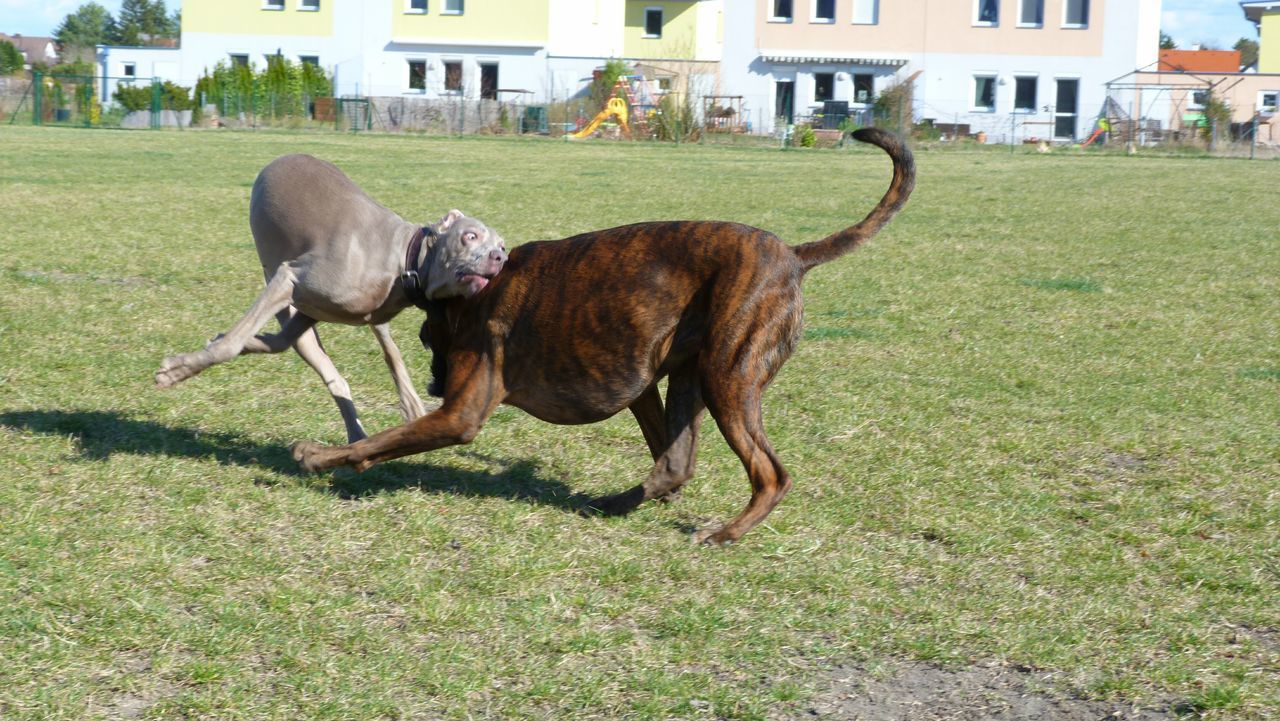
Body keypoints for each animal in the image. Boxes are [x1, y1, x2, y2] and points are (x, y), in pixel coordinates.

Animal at [154, 154, 504, 443]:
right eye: (469, 236)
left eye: (502, 244)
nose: (499, 257)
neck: (405, 261)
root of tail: (284, 157)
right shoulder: (291, 278)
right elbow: (233, 345)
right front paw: (175, 371)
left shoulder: (316, 306)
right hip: (275, 270)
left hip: (319, 307)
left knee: (315, 350)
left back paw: (369, 426)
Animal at [293, 128, 911, 548]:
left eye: (426, 338)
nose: (433, 383)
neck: (477, 295)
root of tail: (793, 257)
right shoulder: (640, 382)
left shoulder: (460, 414)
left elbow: (380, 439)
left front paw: (322, 457)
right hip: (688, 378)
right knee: (674, 463)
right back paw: (616, 502)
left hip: (728, 379)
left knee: (769, 474)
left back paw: (725, 532)